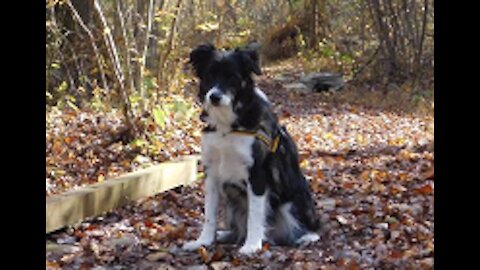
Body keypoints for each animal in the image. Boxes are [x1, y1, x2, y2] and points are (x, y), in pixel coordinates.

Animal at [182, 43, 320, 254]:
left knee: (310, 226)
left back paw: (307, 236)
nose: (214, 97)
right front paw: (203, 241)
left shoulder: (257, 174)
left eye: (232, 77)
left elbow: (254, 215)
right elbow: (209, 215)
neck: (228, 126)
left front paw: (252, 245)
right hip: (232, 203)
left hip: (293, 202)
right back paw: (225, 234)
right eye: (209, 75)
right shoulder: (211, 173)